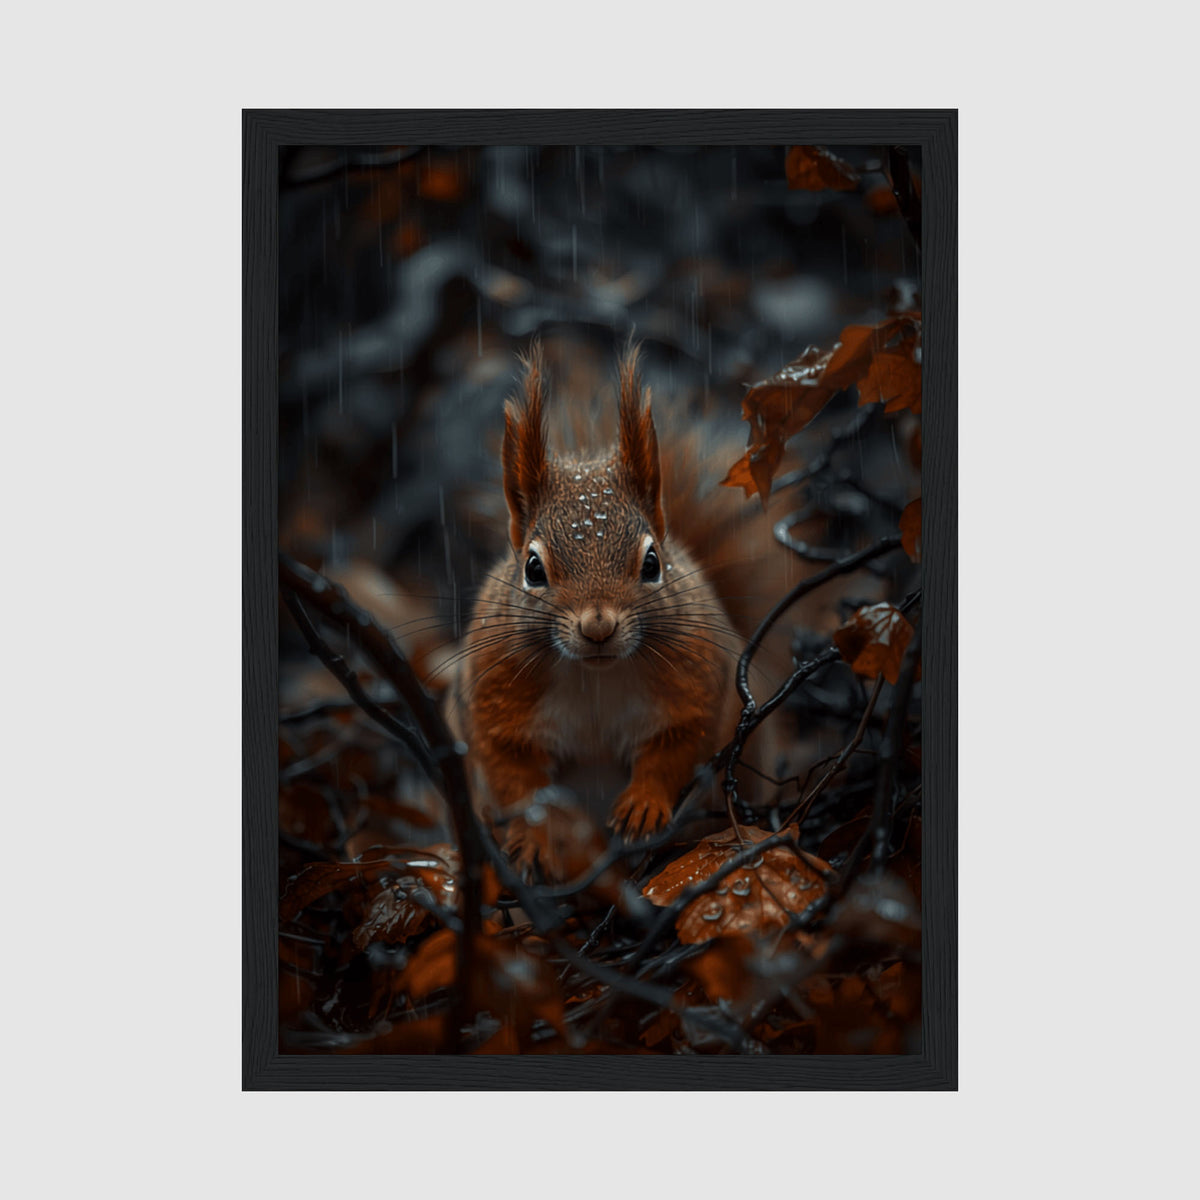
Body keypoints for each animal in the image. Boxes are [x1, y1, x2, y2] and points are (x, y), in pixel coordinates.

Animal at [442, 340, 817, 872]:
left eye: (653, 563)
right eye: (533, 568)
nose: (598, 627)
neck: (595, 677)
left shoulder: (696, 685)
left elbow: (676, 748)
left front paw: (643, 804)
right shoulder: (494, 698)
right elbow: (515, 774)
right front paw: (536, 835)